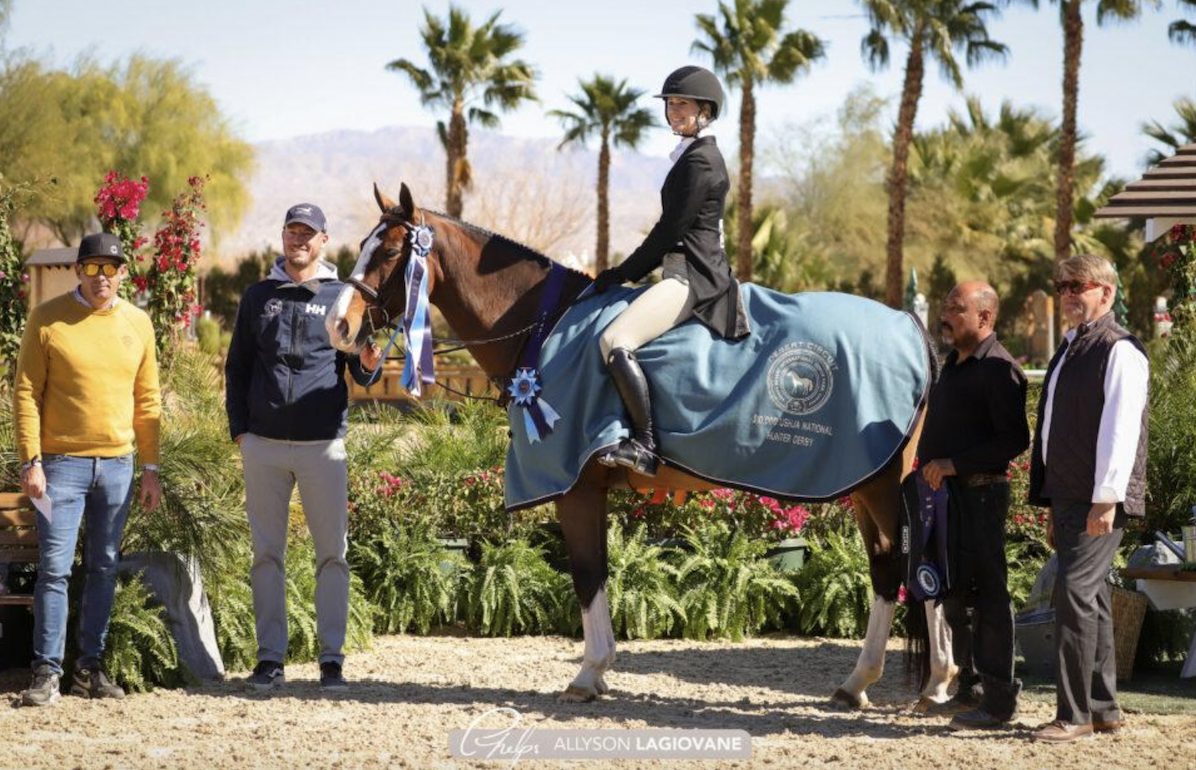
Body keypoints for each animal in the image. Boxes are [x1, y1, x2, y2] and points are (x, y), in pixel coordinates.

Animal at [325, 182, 952, 707]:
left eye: (389, 253)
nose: (339, 326)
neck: (545, 327)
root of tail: (911, 326)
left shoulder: (574, 484)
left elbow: (587, 573)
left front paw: (588, 674)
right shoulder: (590, 487)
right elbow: (596, 572)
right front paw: (598, 672)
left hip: (881, 483)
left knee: (902, 566)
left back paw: (899, 682)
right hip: (864, 482)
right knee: (892, 566)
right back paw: (901, 684)